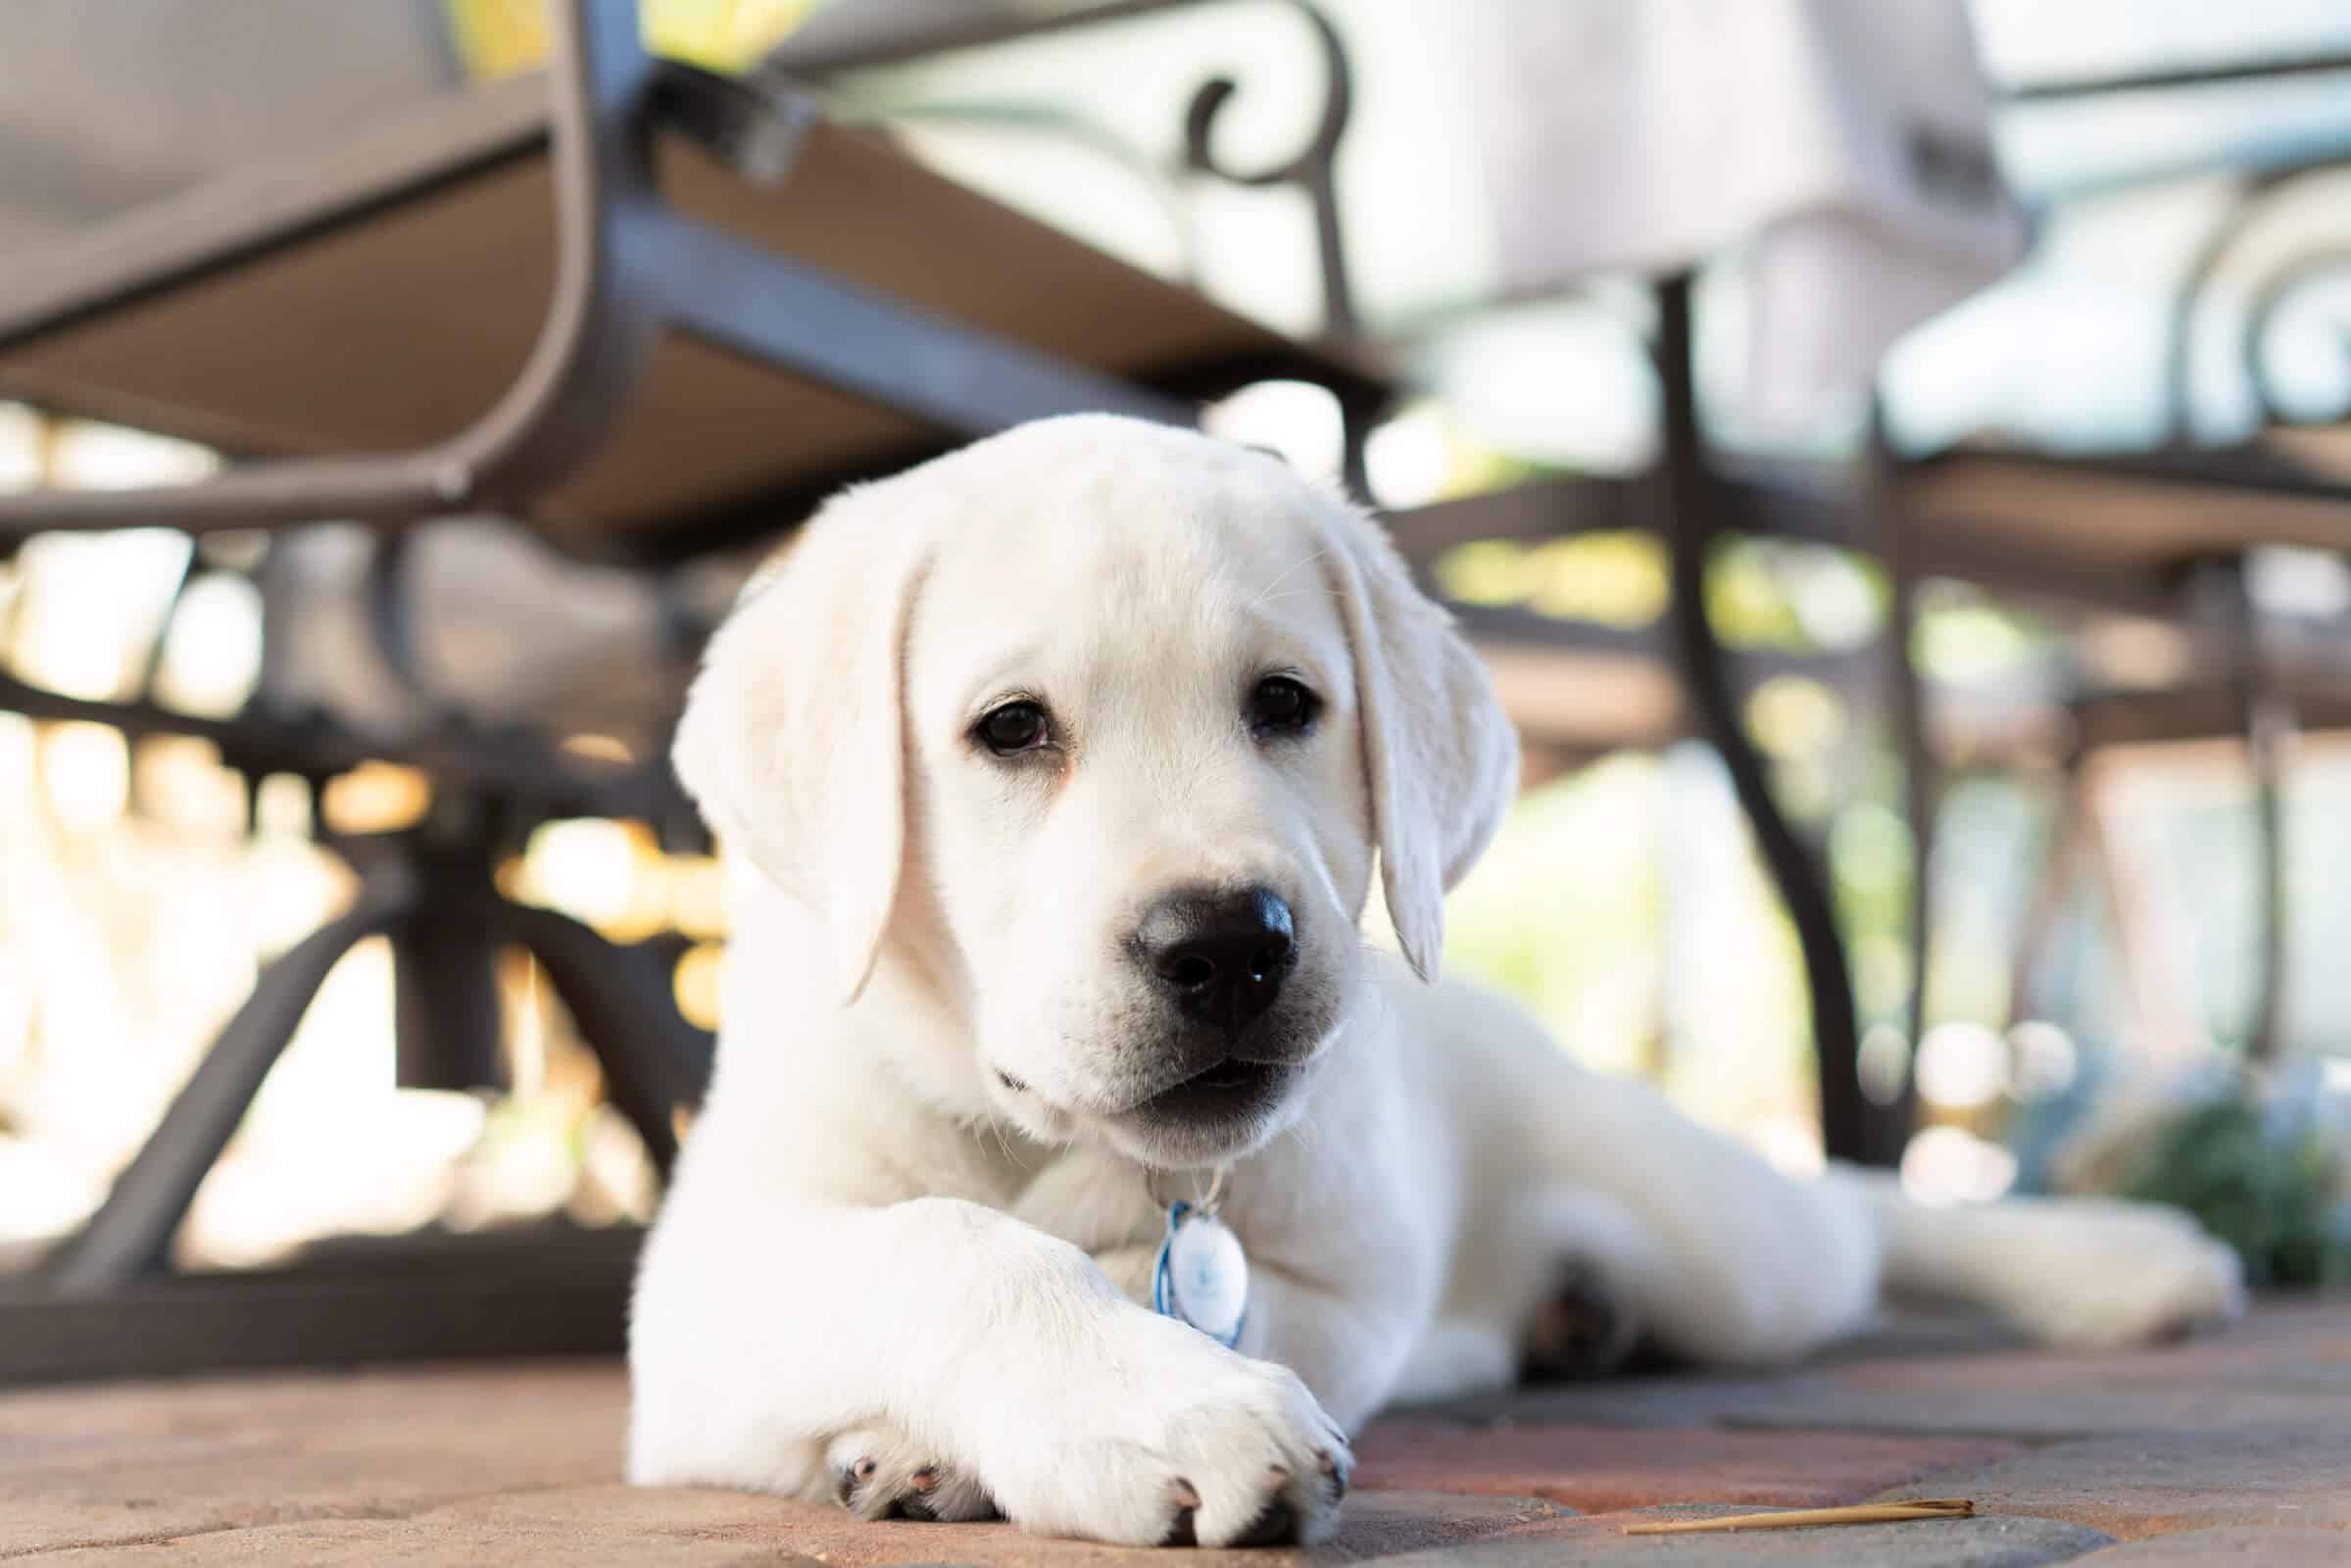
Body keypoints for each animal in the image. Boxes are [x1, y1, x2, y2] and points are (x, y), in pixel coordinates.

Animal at [634, 414, 2247, 1542]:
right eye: (1010, 728)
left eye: (1285, 705)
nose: (1229, 944)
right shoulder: (696, 1286)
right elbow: (945, 1242)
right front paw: (1088, 1409)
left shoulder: (1342, 1280)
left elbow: (1127, 1272)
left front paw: (1144, 1399)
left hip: (1727, 1248)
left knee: (1849, 1213)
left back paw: (2121, 1262)